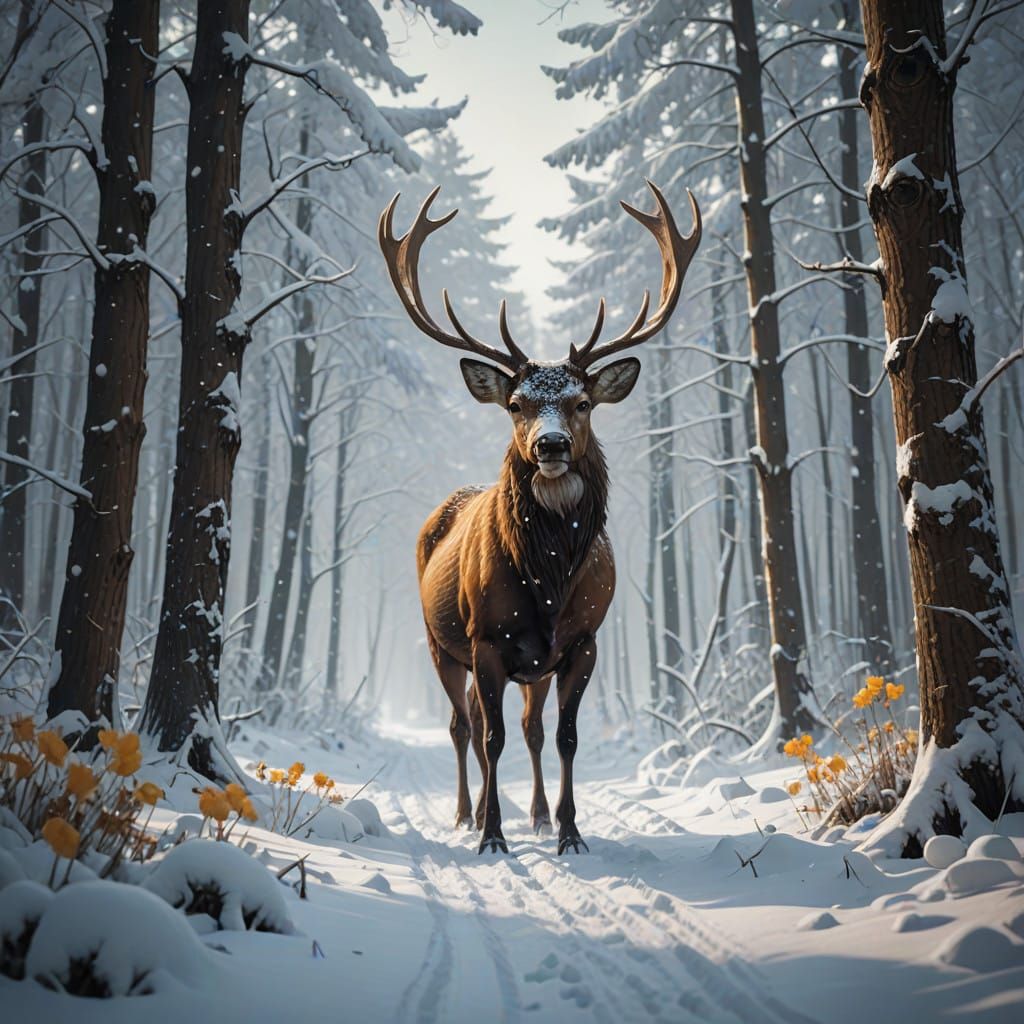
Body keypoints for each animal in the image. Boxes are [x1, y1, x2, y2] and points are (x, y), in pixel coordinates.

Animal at [378, 181, 701, 855]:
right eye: (516, 404)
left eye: (582, 402)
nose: (551, 445)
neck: (548, 580)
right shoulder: (486, 642)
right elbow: (490, 736)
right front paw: (492, 837)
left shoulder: (582, 642)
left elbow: (564, 737)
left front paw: (570, 831)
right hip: (439, 643)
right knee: (463, 725)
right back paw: (467, 813)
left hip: (533, 666)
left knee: (525, 726)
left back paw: (538, 815)